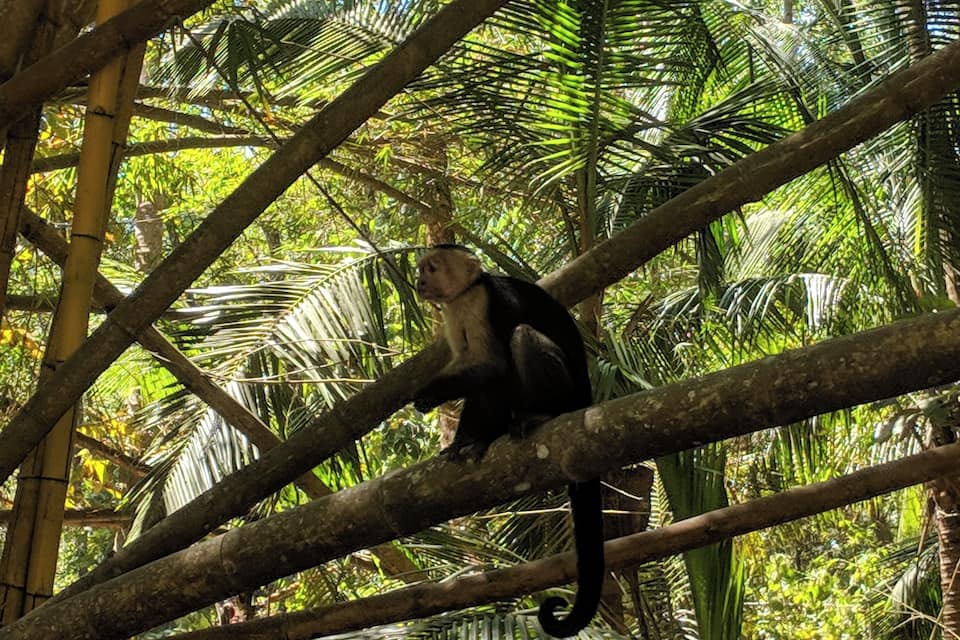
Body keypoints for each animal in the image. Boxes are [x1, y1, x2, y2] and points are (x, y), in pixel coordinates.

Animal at [412, 244, 603, 638]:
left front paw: (430, 395)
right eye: (421, 268)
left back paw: (534, 416)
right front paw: (466, 437)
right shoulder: (455, 309)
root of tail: (585, 398)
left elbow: (492, 365)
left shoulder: (478, 300)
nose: (419, 282)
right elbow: (473, 367)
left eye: (432, 268)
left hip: (565, 392)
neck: (469, 288)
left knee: (520, 338)